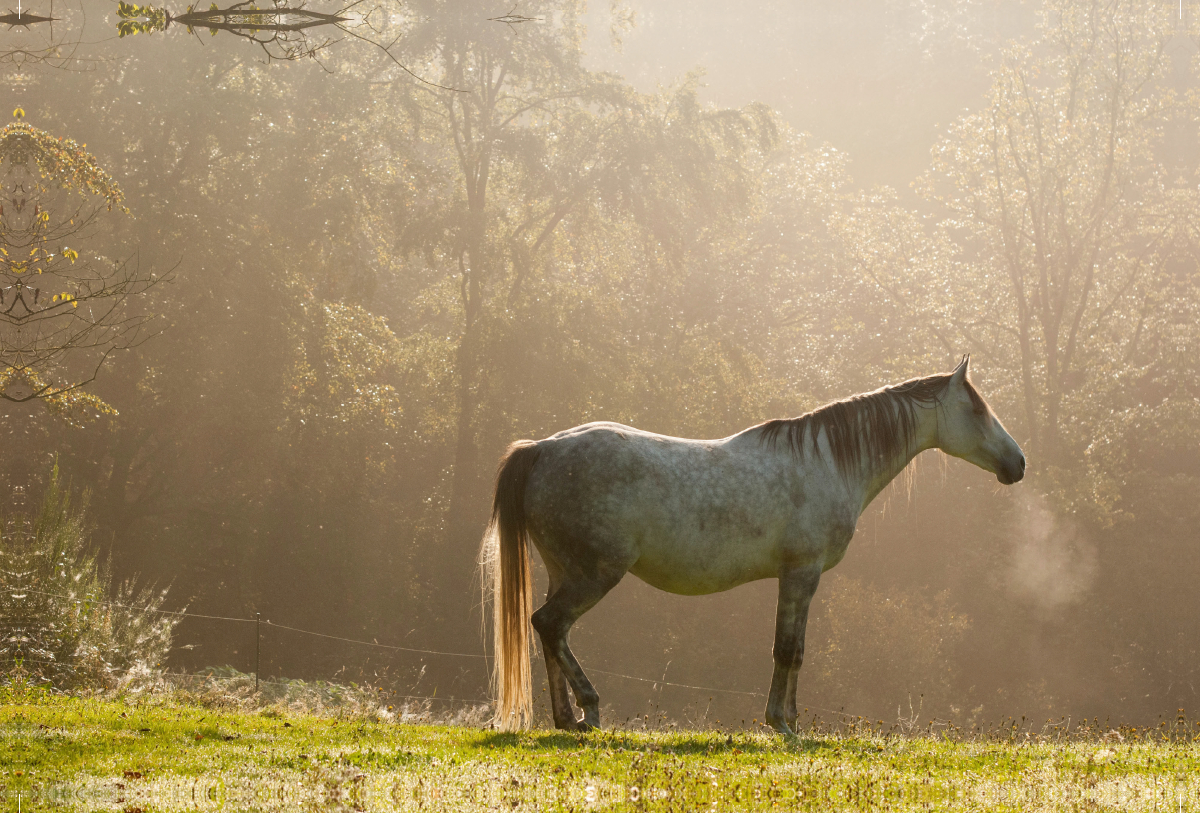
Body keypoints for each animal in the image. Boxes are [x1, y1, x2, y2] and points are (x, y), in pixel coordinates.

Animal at [477, 354, 1022, 733]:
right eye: (976, 408)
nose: (1018, 463)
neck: (826, 461)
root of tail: (542, 448)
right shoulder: (801, 573)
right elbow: (789, 649)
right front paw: (783, 722)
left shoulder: (796, 577)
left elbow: (792, 648)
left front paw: (787, 718)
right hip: (594, 574)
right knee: (551, 624)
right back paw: (589, 710)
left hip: (564, 572)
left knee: (551, 632)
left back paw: (566, 719)